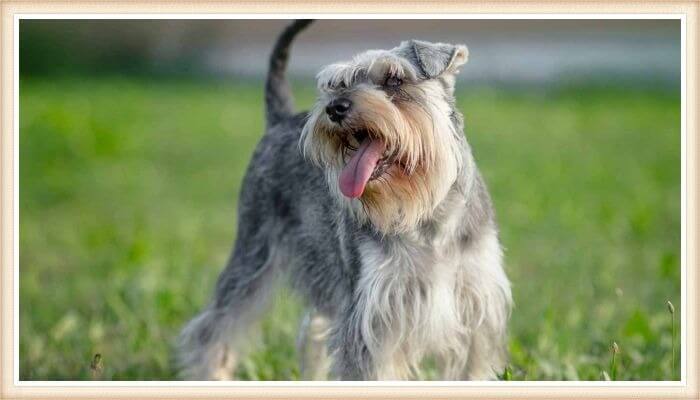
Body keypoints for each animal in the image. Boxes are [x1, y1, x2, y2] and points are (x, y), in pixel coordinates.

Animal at [178, 19, 512, 382]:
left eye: (395, 79)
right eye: (337, 84)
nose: (335, 108)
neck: (427, 217)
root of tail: (279, 120)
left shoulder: (476, 314)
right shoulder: (372, 320)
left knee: (310, 331)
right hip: (253, 253)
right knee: (216, 327)